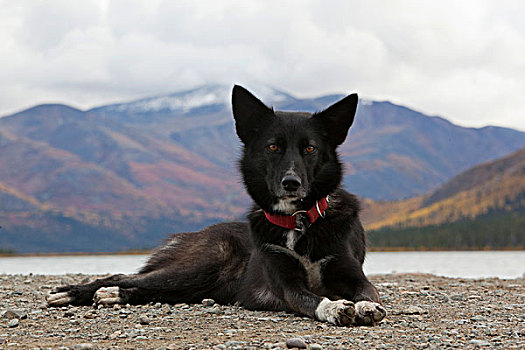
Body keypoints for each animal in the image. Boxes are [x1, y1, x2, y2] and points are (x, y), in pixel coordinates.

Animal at [48, 86, 384, 326]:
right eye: (273, 146)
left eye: (310, 148)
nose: (291, 183)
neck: (299, 220)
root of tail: (190, 234)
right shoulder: (285, 283)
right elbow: (309, 299)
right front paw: (334, 307)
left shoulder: (351, 272)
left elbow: (369, 291)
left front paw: (367, 305)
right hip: (200, 265)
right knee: (126, 276)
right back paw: (73, 292)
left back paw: (111, 296)